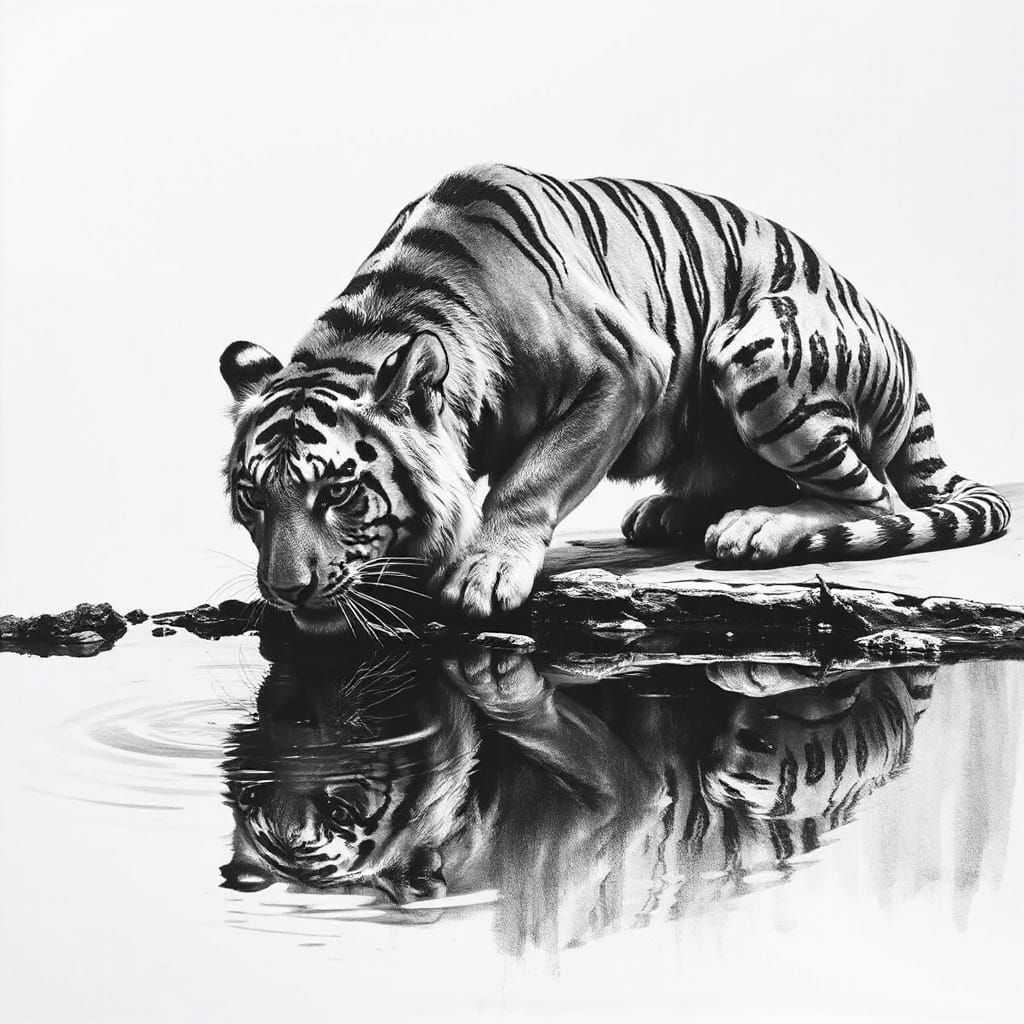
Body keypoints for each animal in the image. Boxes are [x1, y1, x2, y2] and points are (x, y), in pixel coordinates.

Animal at [220, 163, 1010, 629]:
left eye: (339, 494)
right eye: (254, 498)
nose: (284, 592)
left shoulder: (626, 370)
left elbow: (528, 481)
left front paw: (483, 570)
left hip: (752, 345)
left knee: (878, 500)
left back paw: (755, 529)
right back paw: (674, 512)